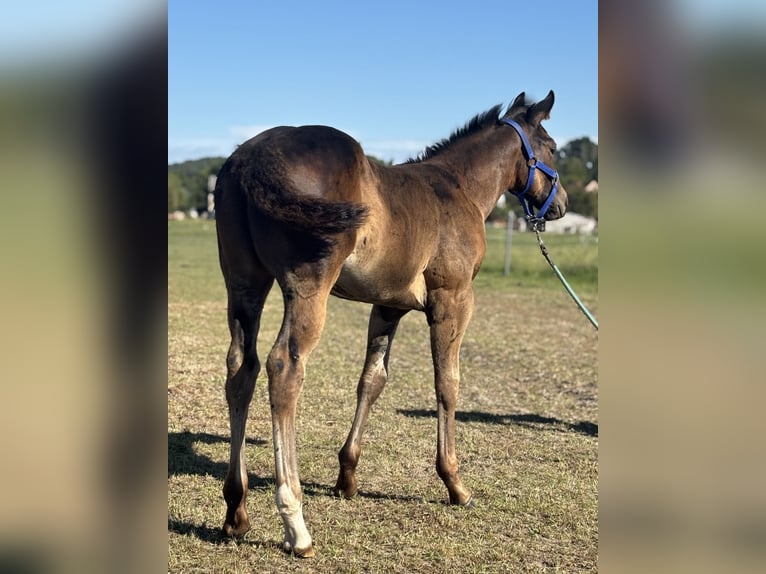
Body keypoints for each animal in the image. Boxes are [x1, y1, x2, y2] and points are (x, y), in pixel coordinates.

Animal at [214, 90, 567, 557]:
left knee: (242, 369)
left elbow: (372, 380)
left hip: (244, 282)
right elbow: (447, 382)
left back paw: (236, 509)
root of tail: (251, 161)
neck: (459, 188)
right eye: (552, 147)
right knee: (283, 367)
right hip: (305, 285)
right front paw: (455, 483)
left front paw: (347, 477)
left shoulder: (387, 306)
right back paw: (296, 523)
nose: (561, 205)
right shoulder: (453, 298)